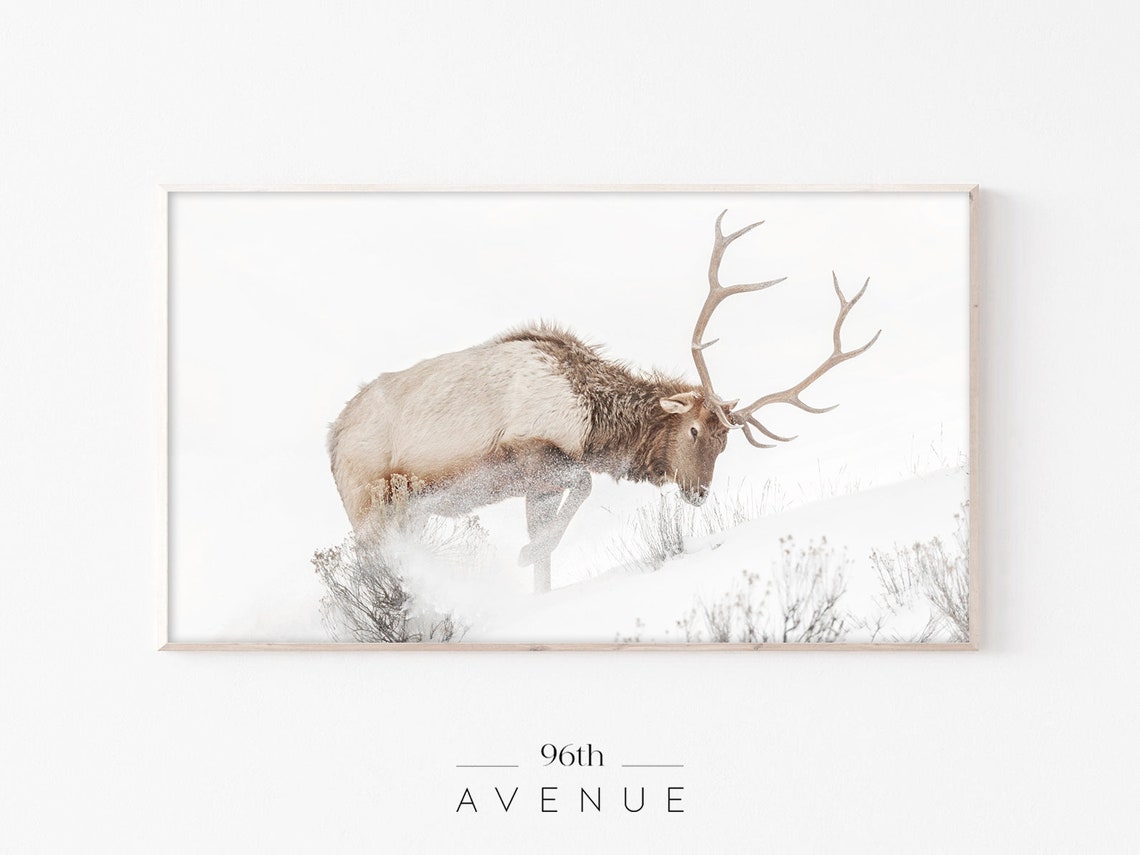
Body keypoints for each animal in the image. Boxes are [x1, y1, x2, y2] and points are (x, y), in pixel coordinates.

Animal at [328, 211, 880, 592]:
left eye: (726, 444)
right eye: (695, 429)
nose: (700, 494)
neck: (594, 424)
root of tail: (332, 438)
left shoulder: (537, 486)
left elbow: (549, 556)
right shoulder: (528, 453)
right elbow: (583, 488)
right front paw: (524, 553)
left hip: (407, 513)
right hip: (368, 505)